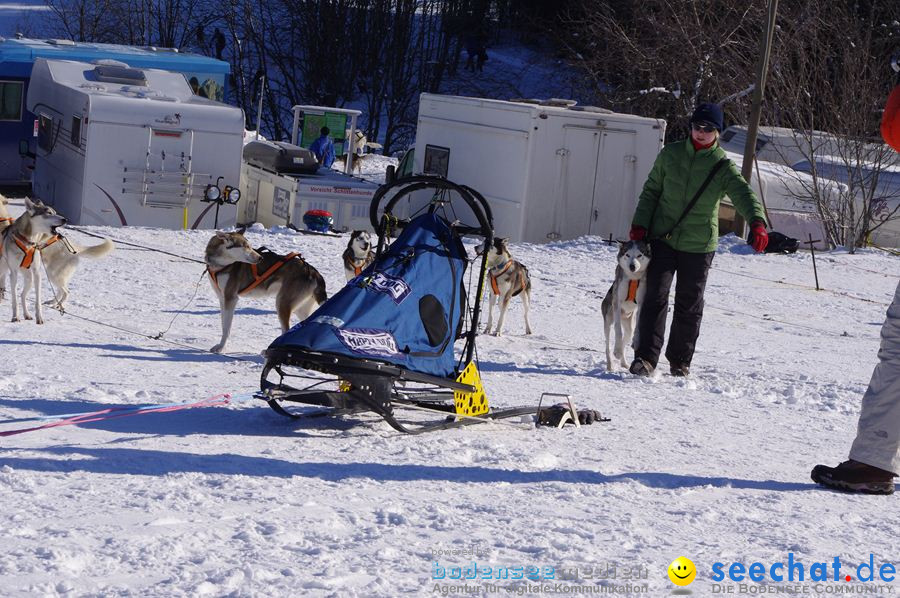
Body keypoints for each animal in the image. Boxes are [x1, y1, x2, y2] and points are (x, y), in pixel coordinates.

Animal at [600, 241, 652, 372]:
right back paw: (611, 363)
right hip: (608, 320)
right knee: (607, 345)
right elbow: (618, 330)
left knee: (626, 338)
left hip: (629, 325)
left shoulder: (641, 303)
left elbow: (638, 327)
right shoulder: (617, 303)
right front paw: (617, 351)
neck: (633, 279)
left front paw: (636, 341)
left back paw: (624, 363)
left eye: (639, 255)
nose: (632, 266)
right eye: (627, 255)